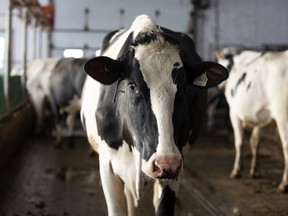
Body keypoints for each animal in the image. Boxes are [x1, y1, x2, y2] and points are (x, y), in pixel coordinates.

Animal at [217, 49, 288, 192]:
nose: (219, 87)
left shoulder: (234, 113)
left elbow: (239, 142)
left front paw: (236, 170)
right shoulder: (260, 117)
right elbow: (255, 142)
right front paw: (255, 171)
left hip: (283, 117)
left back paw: (284, 184)